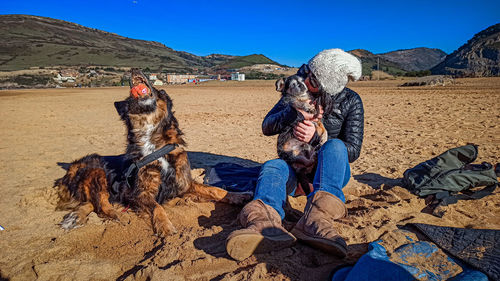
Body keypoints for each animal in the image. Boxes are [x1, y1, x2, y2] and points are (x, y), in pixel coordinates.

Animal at [54, 69, 250, 235]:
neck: (155, 144)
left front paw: (238, 196)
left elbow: (214, 189)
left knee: (93, 203)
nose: (134, 69)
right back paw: (118, 215)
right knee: (102, 205)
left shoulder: (184, 184)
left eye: (158, 90)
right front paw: (165, 226)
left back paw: (75, 217)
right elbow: (158, 207)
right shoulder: (139, 193)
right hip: (96, 171)